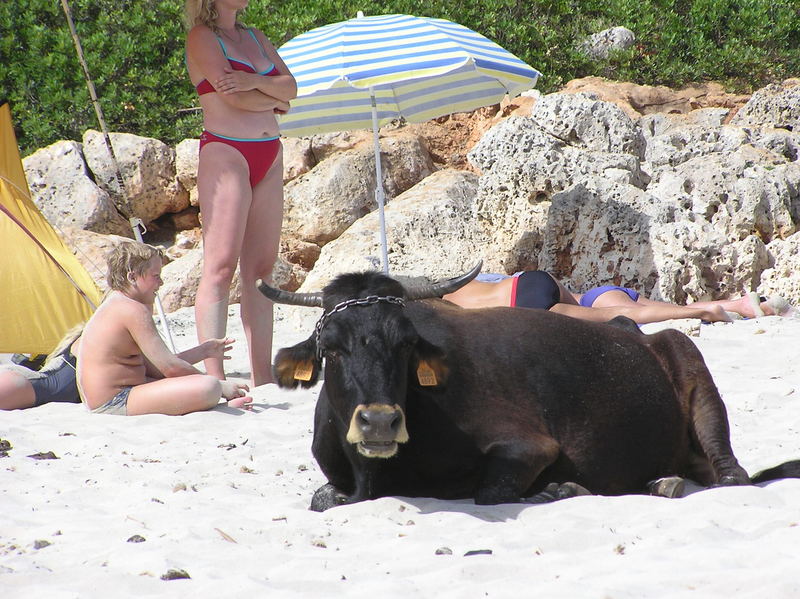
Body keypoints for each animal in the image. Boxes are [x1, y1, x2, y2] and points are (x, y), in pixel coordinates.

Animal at [260, 270, 796, 512]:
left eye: (407, 343)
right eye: (330, 347)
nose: (379, 422)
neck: (371, 475)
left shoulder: (529, 445)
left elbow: (491, 490)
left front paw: (561, 488)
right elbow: (322, 498)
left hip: (690, 363)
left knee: (731, 475)